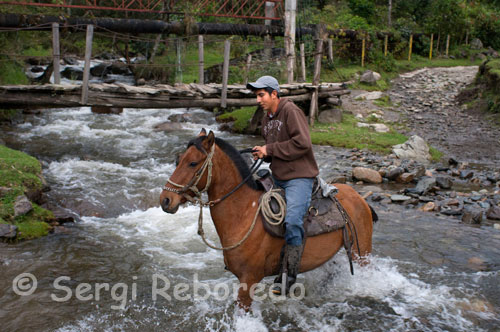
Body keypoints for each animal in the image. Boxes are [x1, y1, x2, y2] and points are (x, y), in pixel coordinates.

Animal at [160, 130, 376, 308]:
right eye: (178, 160)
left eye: (193, 163)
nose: (165, 200)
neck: (244, 213)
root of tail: (359, 197)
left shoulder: (249, 280)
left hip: (361, 252)